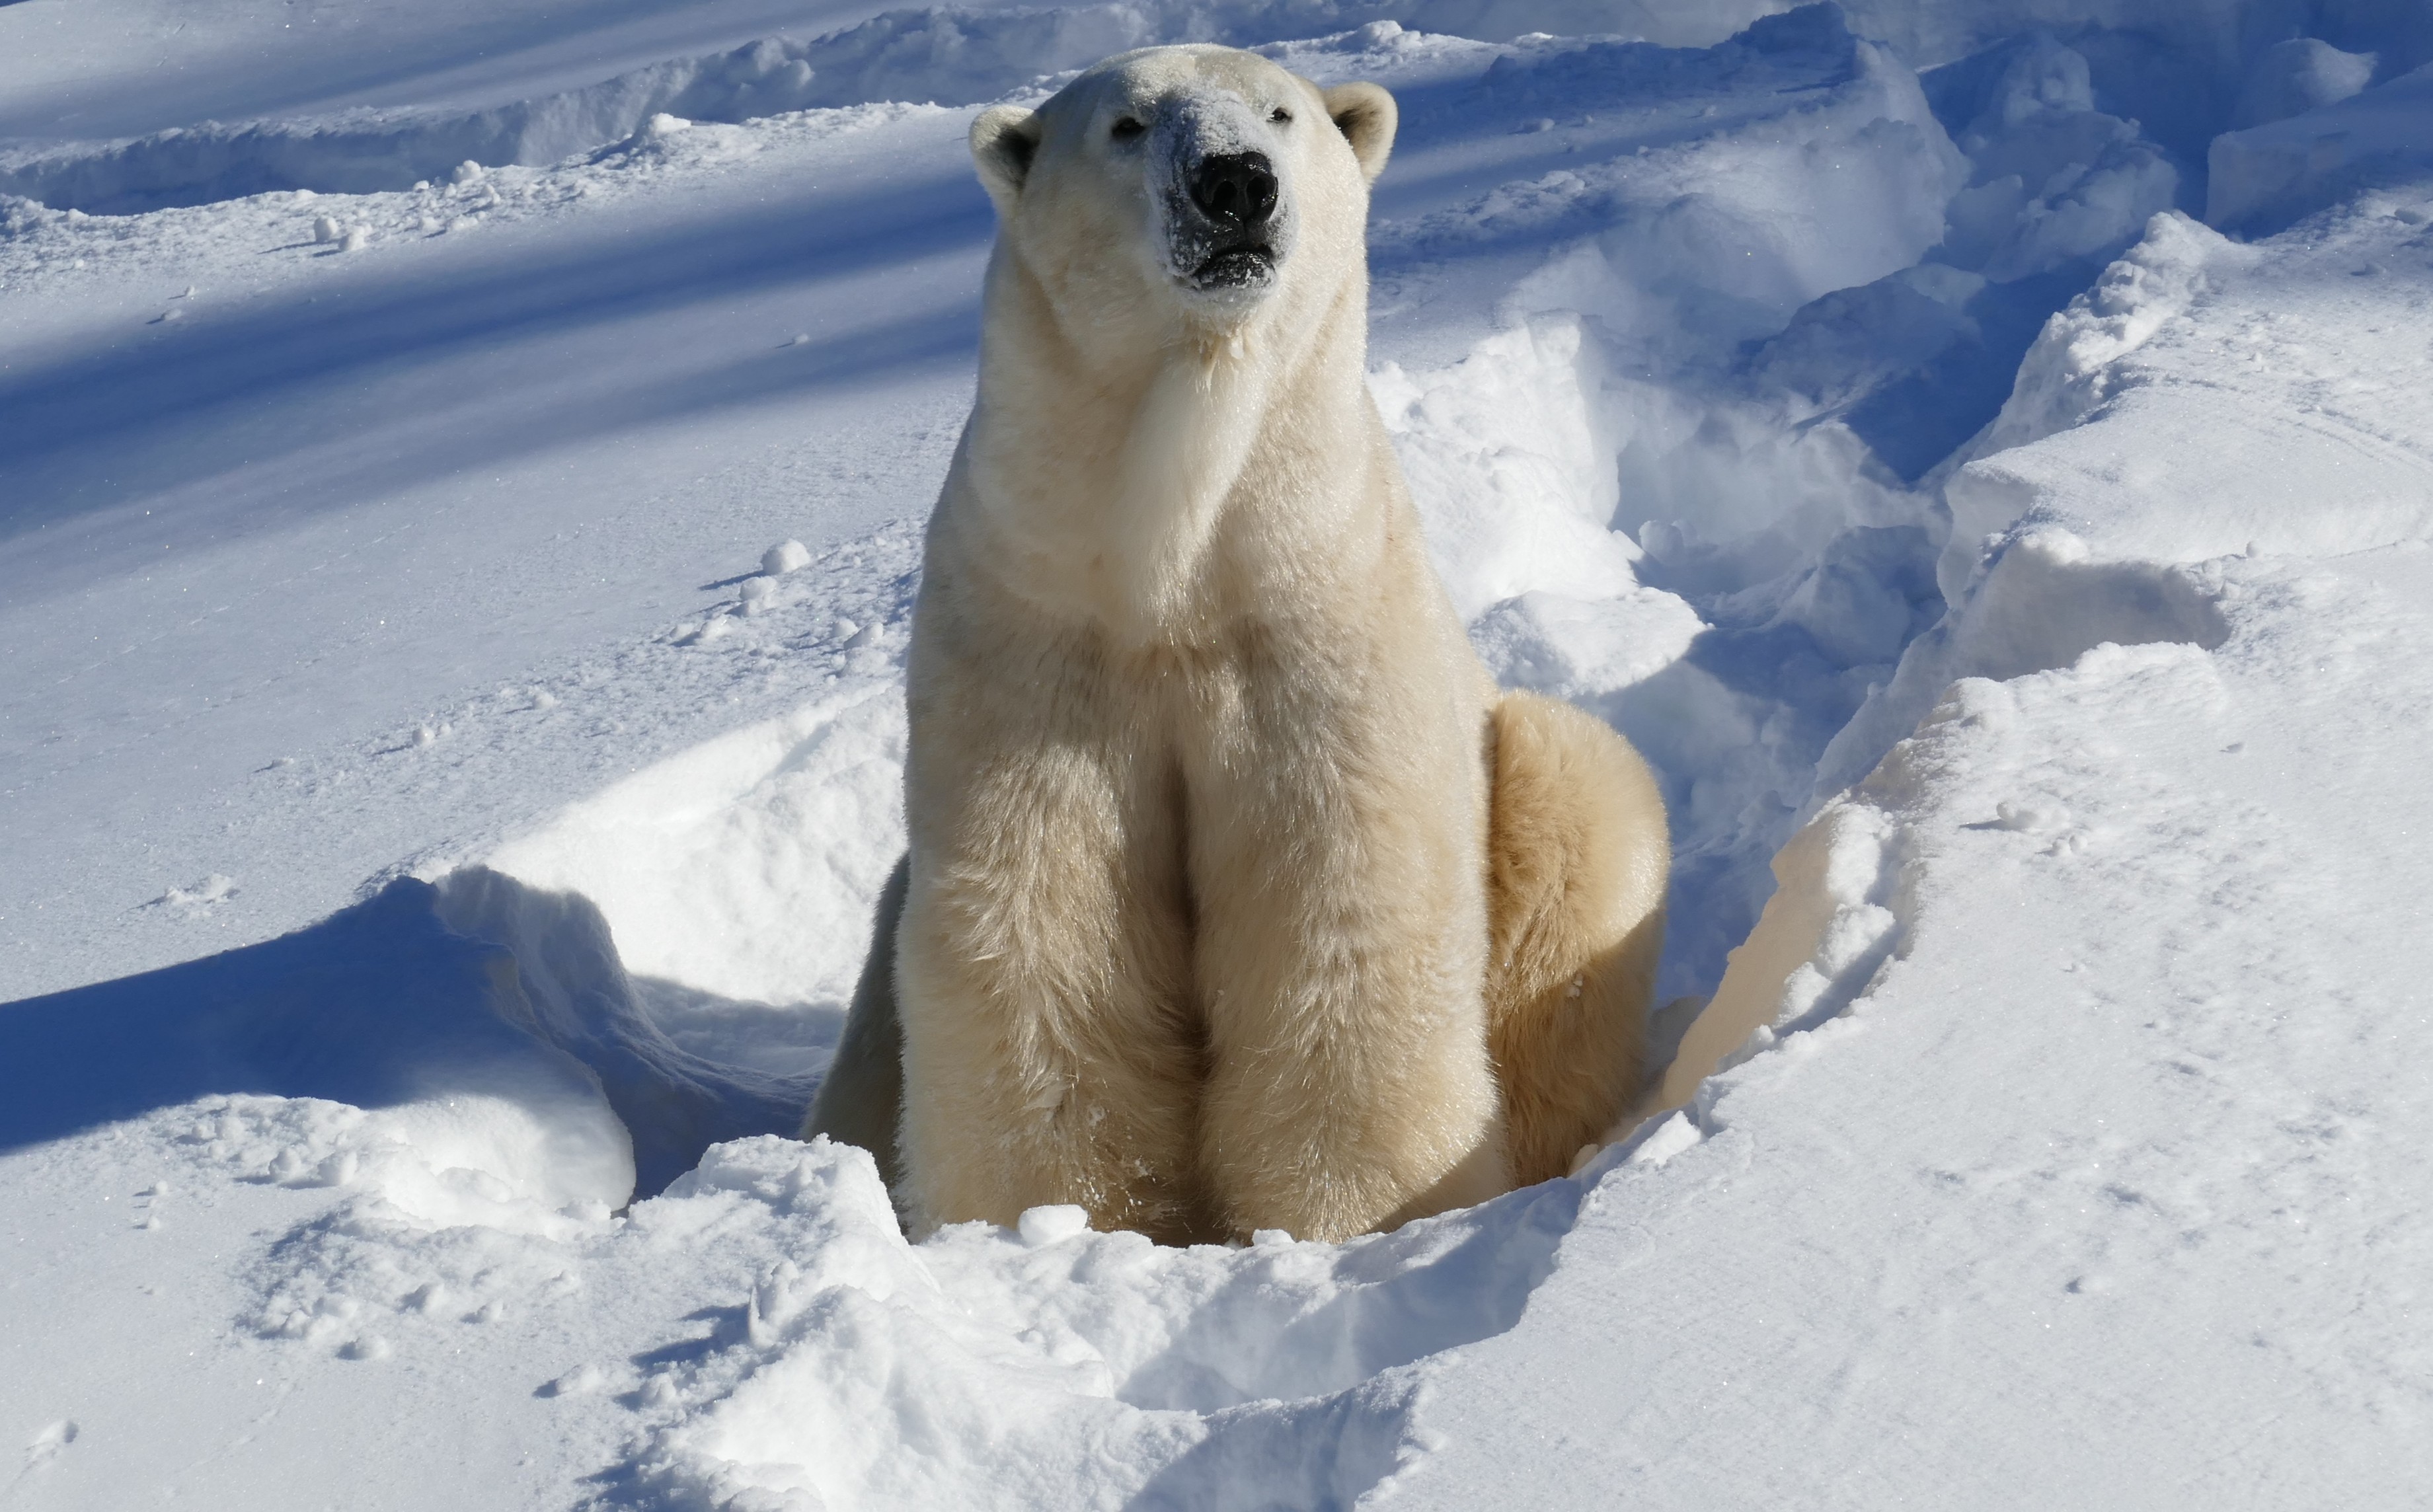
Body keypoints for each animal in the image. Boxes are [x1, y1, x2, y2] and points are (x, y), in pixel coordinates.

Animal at [803, 44, 1668, 1244]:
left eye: (1281, 113)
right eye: (1126, 124)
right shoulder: (1038, 635)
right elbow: (1042, 926)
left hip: (1540, 792)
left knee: (1575, 815)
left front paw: (1360, 1217)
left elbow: (1338, 907)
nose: (1234, 183)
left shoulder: (1313, 620)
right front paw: (1051, 1223)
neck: (1174, 571)